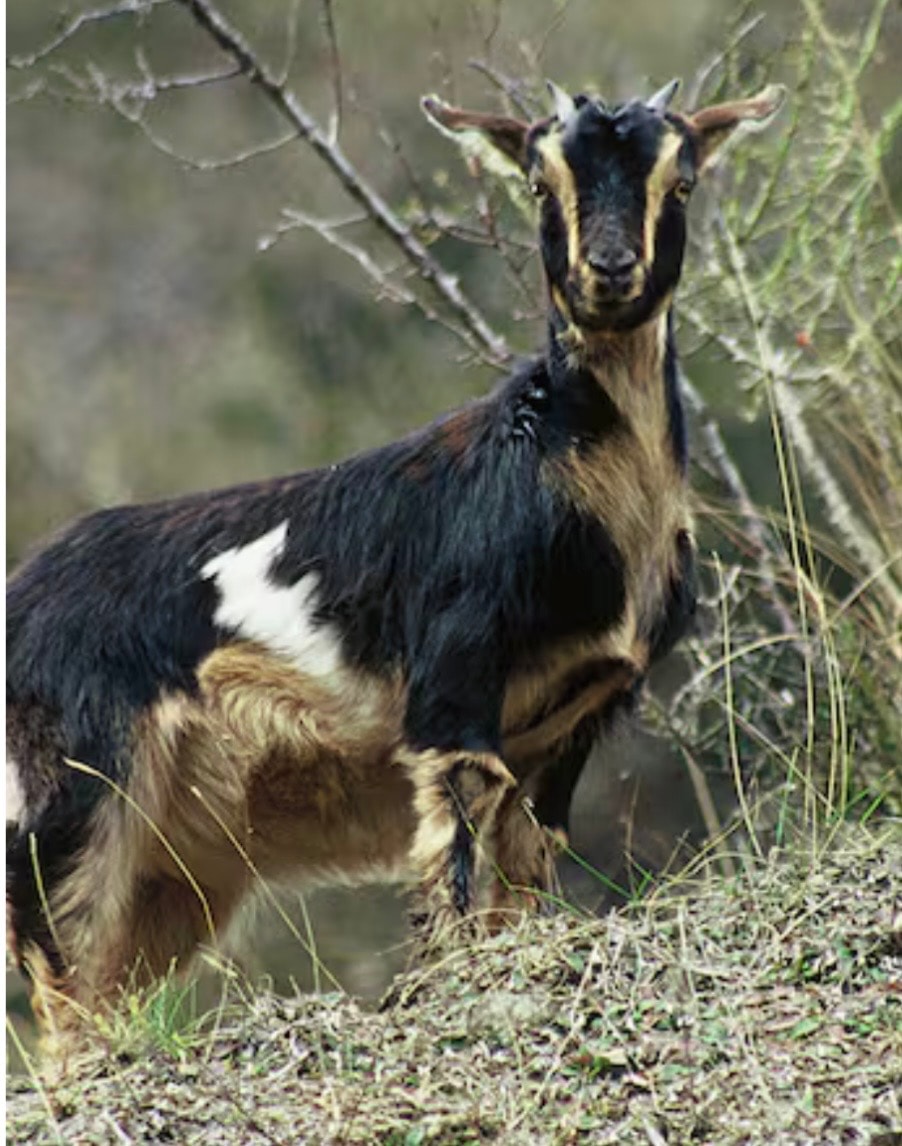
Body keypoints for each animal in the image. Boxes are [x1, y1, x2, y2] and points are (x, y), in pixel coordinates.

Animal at [6, 77, 784, 1058]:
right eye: (539, 182)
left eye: (681, 181)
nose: (608, 272)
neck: (559, 470)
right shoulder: (454, 686)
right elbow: (452, 851)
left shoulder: (579, 717)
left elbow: (524, 867)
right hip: (68, 802)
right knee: (63, 996)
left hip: (170, 874)